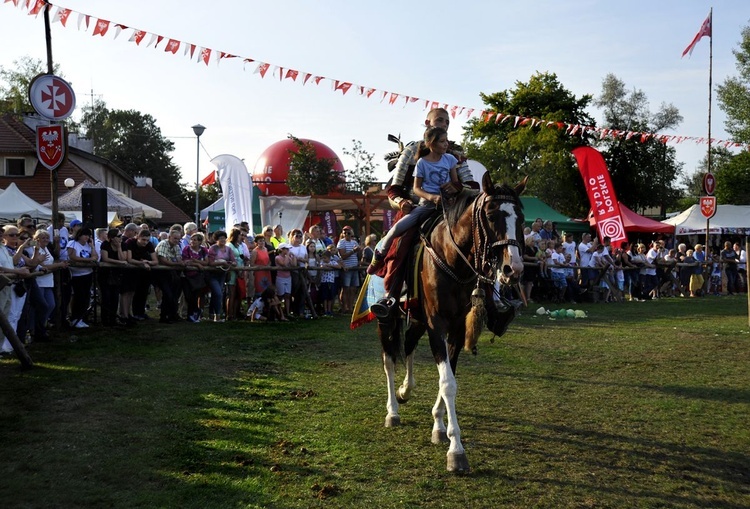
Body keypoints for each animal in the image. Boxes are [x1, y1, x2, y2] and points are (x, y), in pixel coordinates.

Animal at [378, 172, 524, 472]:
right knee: (389, 360)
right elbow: (447, 383)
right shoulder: (437, 326)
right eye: (491, 215)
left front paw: (438, 425)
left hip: (417, 319)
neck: (452, 258)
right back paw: (393, 411)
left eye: (522, 219)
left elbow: (449, 377)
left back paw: (405, 390)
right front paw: (456, 450)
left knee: (408, 346)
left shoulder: (455, 328)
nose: (513, 269)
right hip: (387, 320)